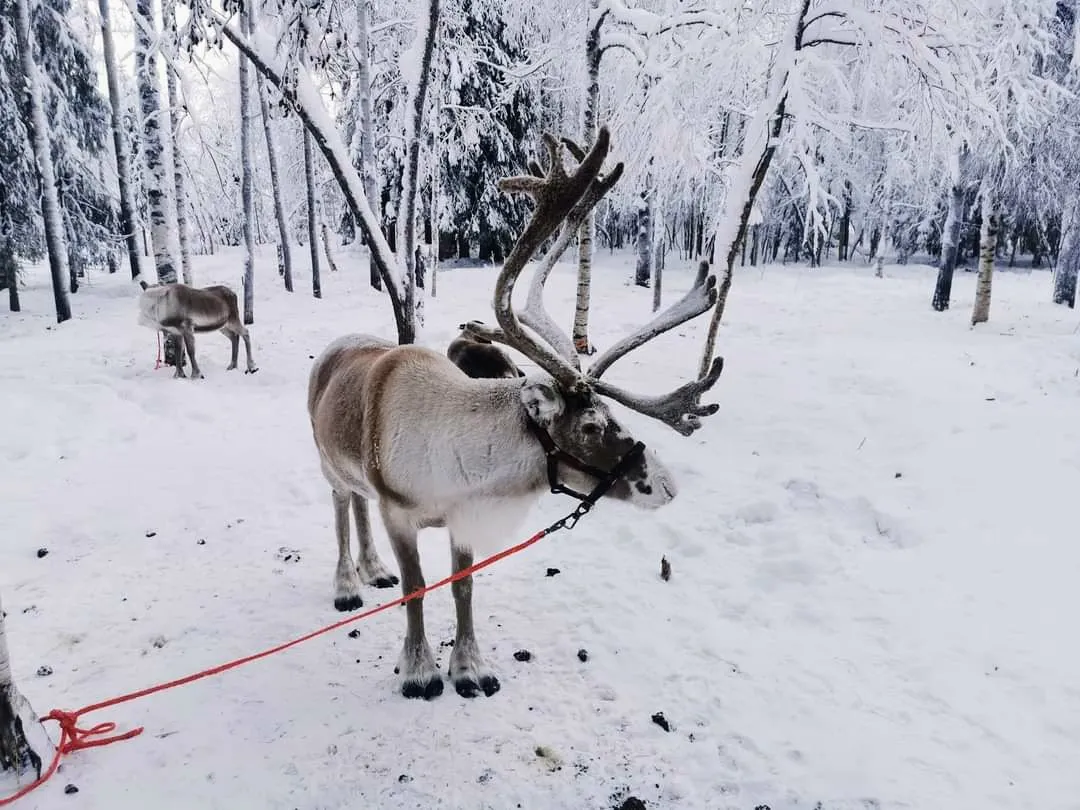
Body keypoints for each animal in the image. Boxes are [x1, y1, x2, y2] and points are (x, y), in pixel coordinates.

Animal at [306, 126, 724, 700]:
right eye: (591, 426)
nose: (667, 485)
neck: (459, 465)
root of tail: (336, 347)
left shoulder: (463, 516)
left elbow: (463, 589)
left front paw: (470, 668)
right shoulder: (400, 514)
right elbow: (417, 588)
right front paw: (419, 671)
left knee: (358, 503)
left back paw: (373, 570)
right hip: (327, 462)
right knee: (342, 507)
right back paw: (348, 583)